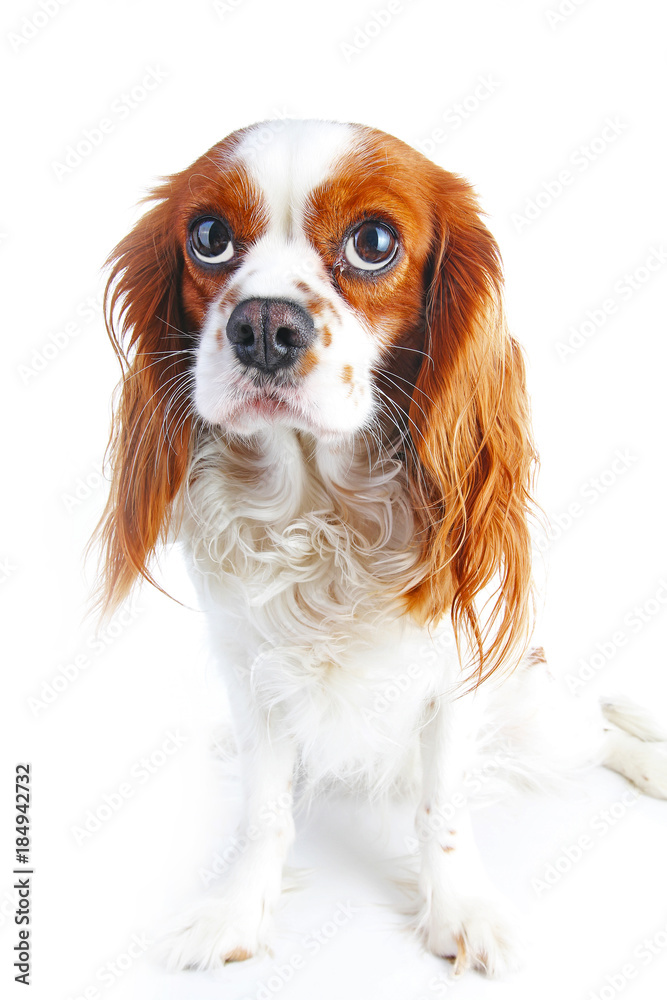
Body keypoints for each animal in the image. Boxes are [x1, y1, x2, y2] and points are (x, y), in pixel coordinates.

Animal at [94, 119, 667, 976]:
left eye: (373, 243)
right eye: (208, 237)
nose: (262, 326)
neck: (321, 512)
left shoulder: (456, 678)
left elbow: (442, 810)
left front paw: (459, 910)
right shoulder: (250, 672)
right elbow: (263, 811)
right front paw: (236, 909)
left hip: (535, 719)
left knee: (595, 725)